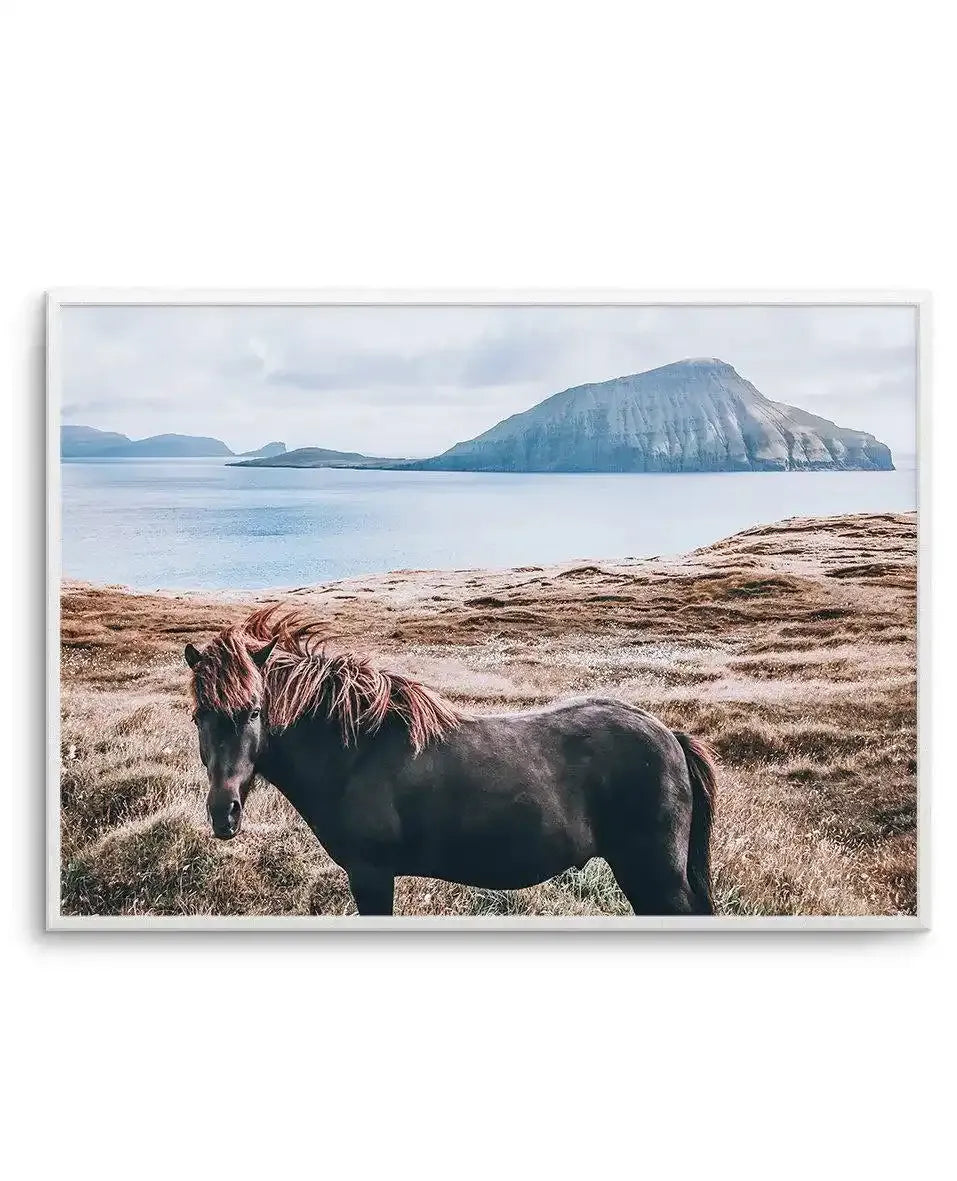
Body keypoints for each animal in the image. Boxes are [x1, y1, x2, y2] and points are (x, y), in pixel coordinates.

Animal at [184, 606, 718, 916]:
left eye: (254, 711)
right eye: (198, 715)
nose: (223, 813)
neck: (355, 753)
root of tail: (670, 736)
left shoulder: (371, 875)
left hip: (655, 876)